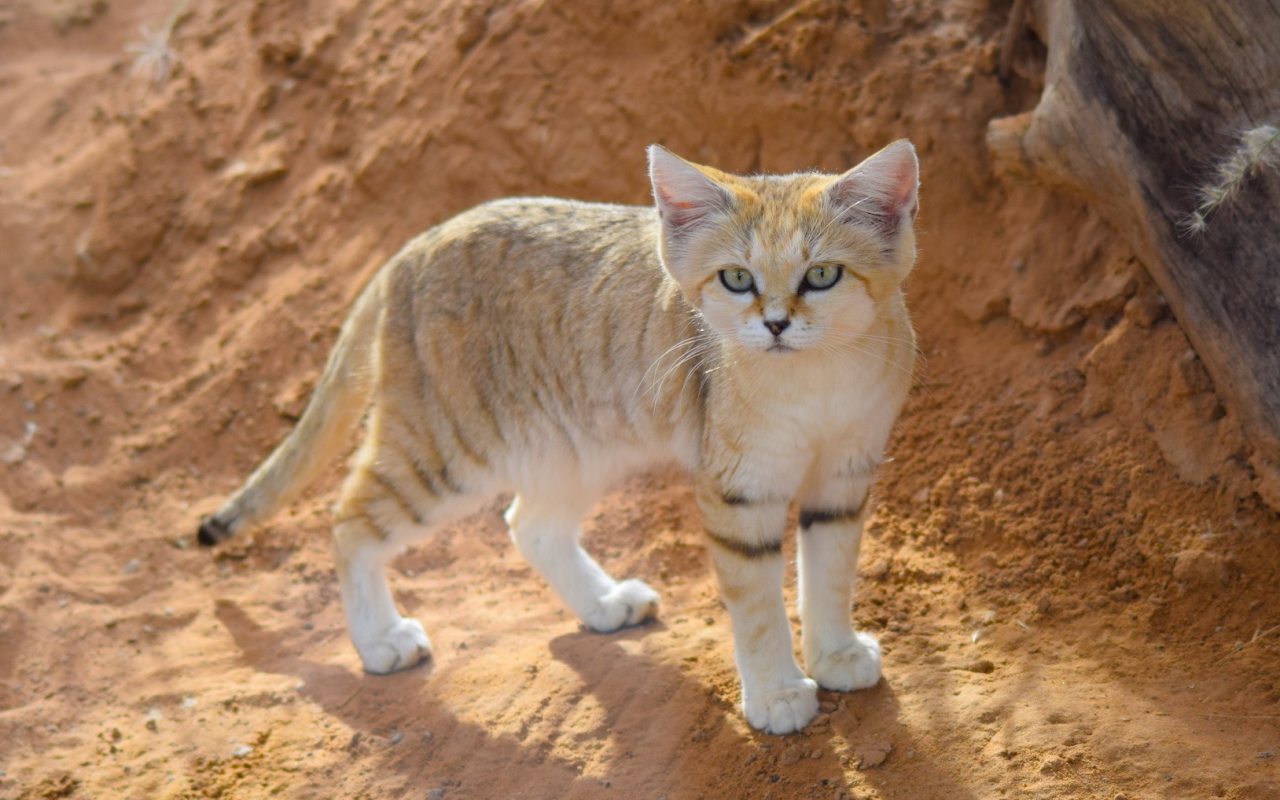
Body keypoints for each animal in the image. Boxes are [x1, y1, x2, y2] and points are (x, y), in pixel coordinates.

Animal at [194, 140, 921, 732]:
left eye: (821, 275)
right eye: (736, 278)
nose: (774, 324)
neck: (815, 383)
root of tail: (417, 241)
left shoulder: (845, 475)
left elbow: (830, 574)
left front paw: (835, 655)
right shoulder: (739, 490)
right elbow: (759, 604)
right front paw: (776, 695)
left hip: (572, 448)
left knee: (529, 525)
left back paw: (602, 603)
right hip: (447, 453)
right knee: (349, 520)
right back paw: (380, 641)